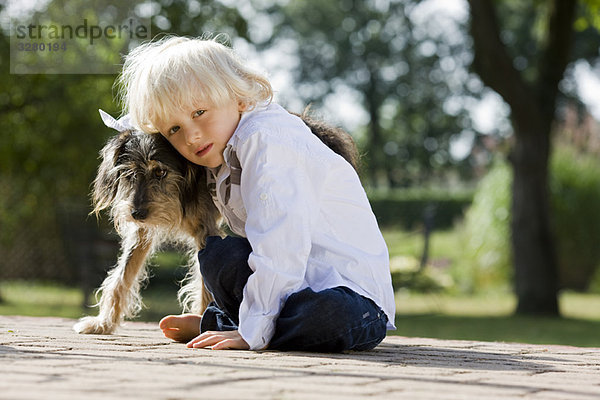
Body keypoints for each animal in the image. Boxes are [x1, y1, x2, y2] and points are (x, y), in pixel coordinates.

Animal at [72, 109, 358, 334]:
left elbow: (203, 283)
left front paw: (200, 319)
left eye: (160, 172)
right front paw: (103, 323)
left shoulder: (205, 230)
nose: (136, 213)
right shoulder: (142, 233)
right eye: (129, 174)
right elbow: (122, 277)